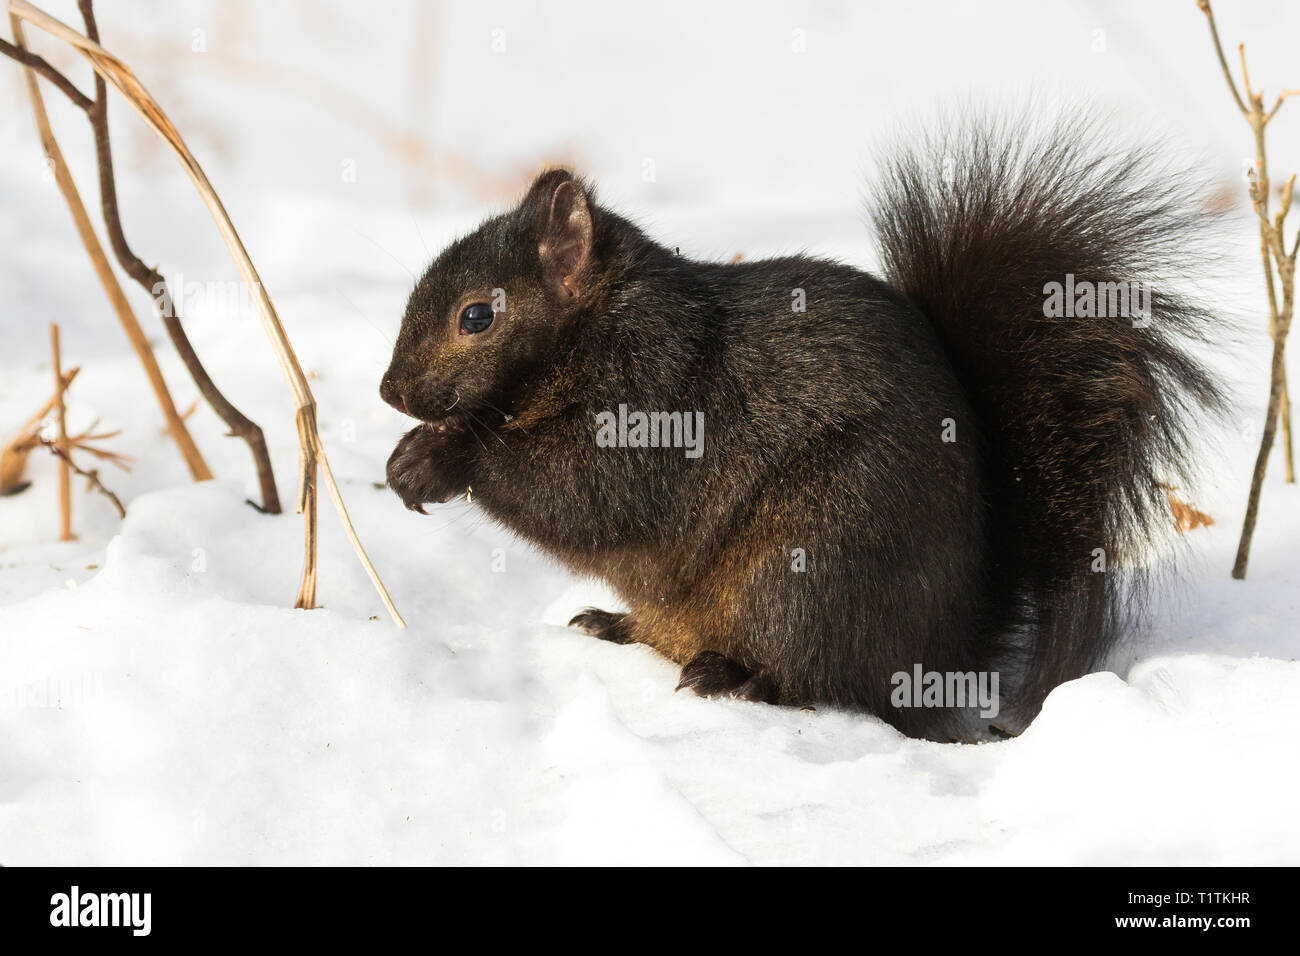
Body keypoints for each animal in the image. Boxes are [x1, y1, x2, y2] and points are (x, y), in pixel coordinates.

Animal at [381, 113, 1224, 741]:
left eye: (478, 316)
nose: (390, 392)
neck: (595, 328)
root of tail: (946, 649)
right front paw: (407, 458)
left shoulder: (653, 394)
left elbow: (584, 493)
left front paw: (443, 459)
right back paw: (614, 625)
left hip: (813, 562)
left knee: (820, 679)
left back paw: (735, 675)